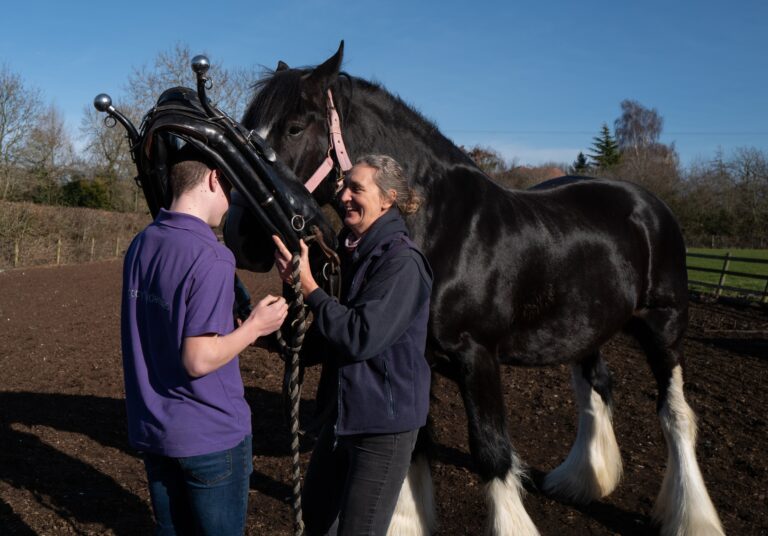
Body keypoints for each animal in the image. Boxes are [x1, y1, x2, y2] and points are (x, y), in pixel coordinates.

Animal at [226, 42, 725, 536]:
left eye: (294, 128)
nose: (240, 235)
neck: (442, 227)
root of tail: (648, 204)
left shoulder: (477, 355)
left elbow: (491, 450)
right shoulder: (418, 354)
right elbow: (416, 440)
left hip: (663, 328)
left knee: (675, 414)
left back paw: (692, 518)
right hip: (587, 328)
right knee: (596, 387)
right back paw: (582, 481)